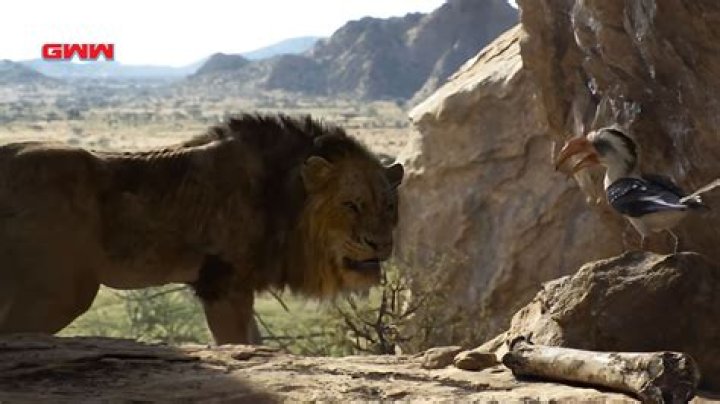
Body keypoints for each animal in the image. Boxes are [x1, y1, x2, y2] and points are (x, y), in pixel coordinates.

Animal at [0, 113, 403, 344]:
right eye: (351, 205)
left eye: (389, 206)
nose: (381, 244)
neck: (282, 193)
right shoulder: (220, 285)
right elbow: (237, 344)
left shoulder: (238, 287)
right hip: (61, 291)